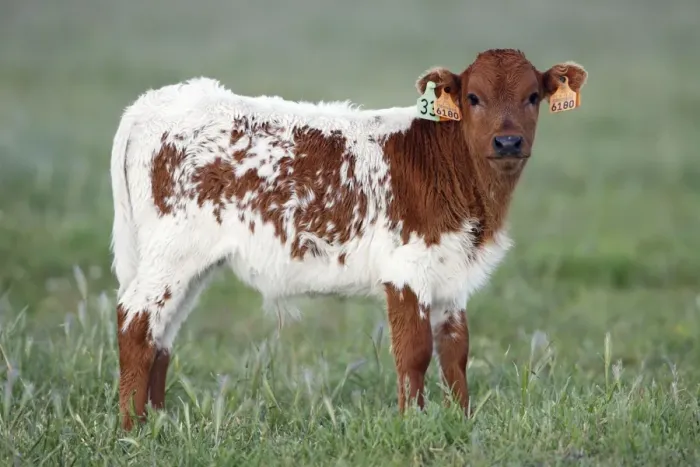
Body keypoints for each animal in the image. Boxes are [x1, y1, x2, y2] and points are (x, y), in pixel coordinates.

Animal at [110, 48, 587, 430]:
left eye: (532, 97)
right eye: (473, 97)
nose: (508, 142)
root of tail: (156, 102)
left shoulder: (452, 275)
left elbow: (456, 352)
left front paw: (462, 422)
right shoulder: (406, 270)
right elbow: (414, 352)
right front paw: (412, 425)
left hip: (190, 266)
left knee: (162, 336)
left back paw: (159, 422)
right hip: (171, 255)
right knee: (136, 322)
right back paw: (133, 428)